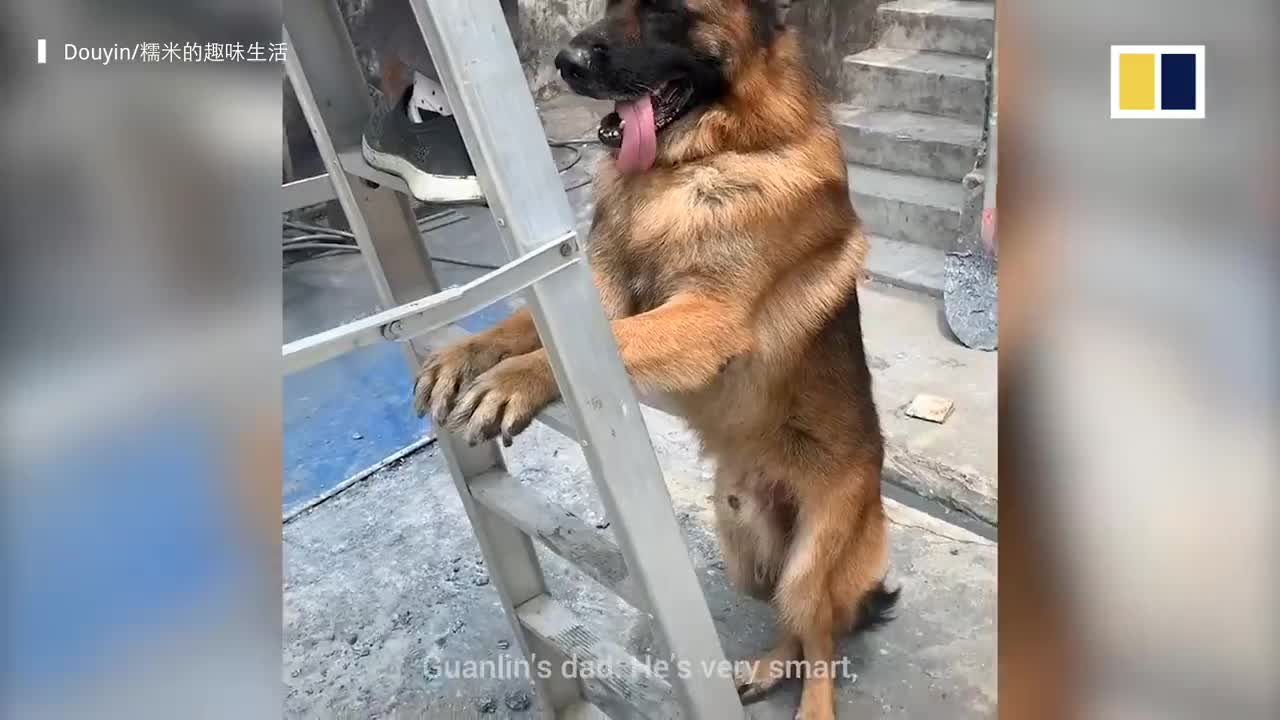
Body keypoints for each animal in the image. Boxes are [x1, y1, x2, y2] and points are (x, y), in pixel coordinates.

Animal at [414, 2, 896, 712]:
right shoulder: (600, 293)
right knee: (790, 621)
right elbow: (522, 322)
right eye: (610, 7)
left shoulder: (706, 319)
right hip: (745, 550)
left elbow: (604, 344)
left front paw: (516, 379)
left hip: (812, 565)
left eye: (668, 12)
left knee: (822, 636)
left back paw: (812, 704)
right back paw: (768, 668)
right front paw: (467, 352)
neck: (704, 157)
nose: (567, 63)